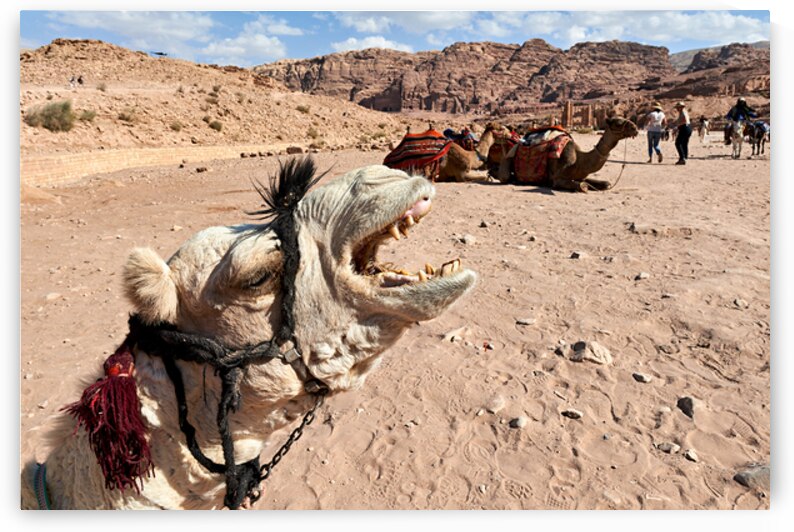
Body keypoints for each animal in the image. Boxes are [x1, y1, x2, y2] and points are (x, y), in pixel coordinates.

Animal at [497, 117, 638, 192]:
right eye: (618, 122)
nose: (635, 128)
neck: (579, 160)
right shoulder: (557, 179)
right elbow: (583, 186)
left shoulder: (581, 175)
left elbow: (605, 183)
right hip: (509, 156)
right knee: (505, 176)